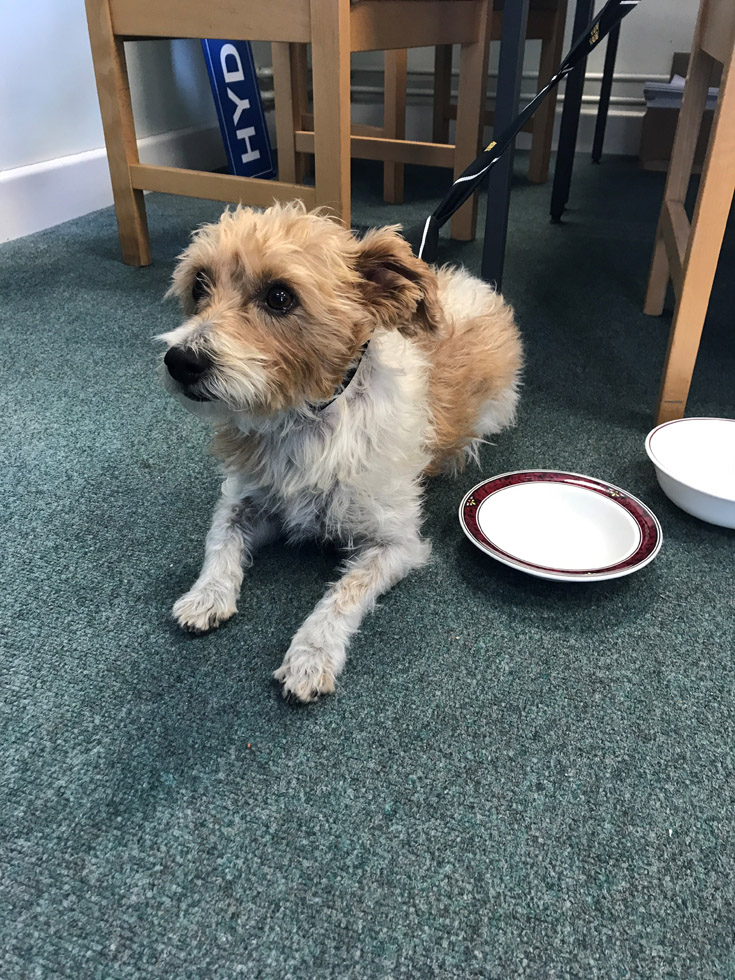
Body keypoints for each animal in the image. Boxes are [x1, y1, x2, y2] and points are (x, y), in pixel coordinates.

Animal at [160, 203, 524, 700]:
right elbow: (220, 538)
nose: (180, 361)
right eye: (199, 284)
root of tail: (475, 285)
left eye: (280, 297)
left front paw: (311, 656)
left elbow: (343, 594)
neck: (303, 421)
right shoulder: (243, 498)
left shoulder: (396, 543)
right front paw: (205, 596)